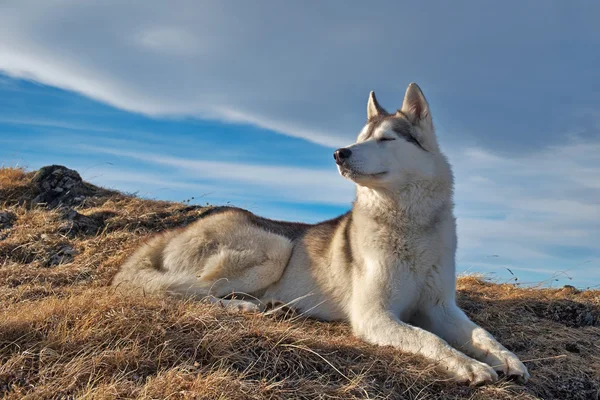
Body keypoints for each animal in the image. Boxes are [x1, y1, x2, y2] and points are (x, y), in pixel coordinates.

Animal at [112, 83, 528, 386]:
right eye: (359, 138)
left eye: (386, 140)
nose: (339, 153)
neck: (409, 225)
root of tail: (173, 233)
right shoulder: (374, 315)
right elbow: (430, 339)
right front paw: (469, 366)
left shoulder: (440, 307)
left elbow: (482, 335)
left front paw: (508, 359)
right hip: (274, 248)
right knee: (185, 294)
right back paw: (243, 307)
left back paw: (272, 306)